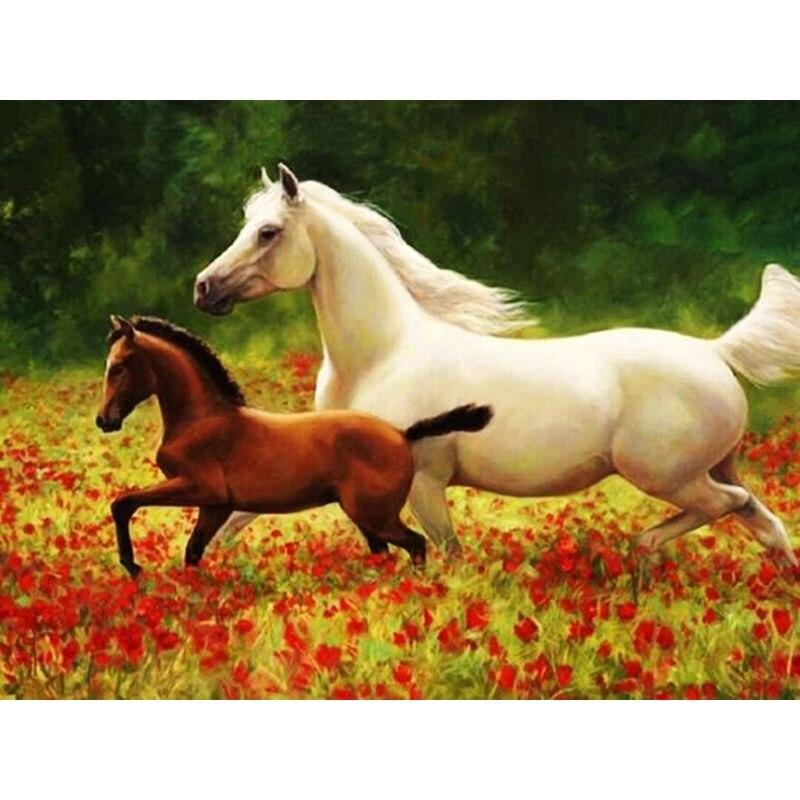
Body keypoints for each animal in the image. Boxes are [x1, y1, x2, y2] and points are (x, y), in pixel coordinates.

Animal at [95, 314, 493, 577]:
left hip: (375, 515)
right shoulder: (216, 505)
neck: (202, 418)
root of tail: (401, 433)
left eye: (119, 367)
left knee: (416, 544)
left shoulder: (198, 487)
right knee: (387, 553)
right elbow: (193, 551)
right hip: (365, 516)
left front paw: (132, 565)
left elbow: (123, 503)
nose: (104, 420)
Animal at [193, 163, 800, 566]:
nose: (204, 288)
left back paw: (644, 549)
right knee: (766, 524)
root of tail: (715, 351)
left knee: (733, 505)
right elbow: (243, 514)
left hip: (668, 475)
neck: (382, 357)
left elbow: (447, 554)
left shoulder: (426, 483)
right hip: (713, 467)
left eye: (267, 232)